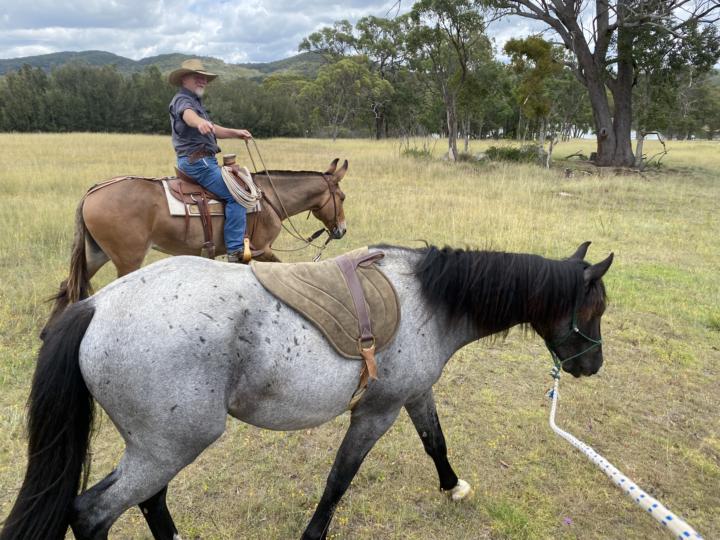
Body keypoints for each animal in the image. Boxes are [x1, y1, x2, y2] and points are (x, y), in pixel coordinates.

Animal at [2, 241, 613, 540]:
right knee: (92, 514)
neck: (427, 299)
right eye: (595, 308)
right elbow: (340, 478)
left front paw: (452, 485)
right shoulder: (376, 412)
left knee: (150, 501)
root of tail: (96, 305)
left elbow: (435, 442)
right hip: (168, 447)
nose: (592, 366)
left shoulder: (413, 396)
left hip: (158, 448)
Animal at [43, 158, 349, 336]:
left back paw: (48, 332)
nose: (342, 230)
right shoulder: (261, 249)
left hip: (97, 254)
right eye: (343, 197)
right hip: (127, 258)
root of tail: (92, 193)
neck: (268, 198)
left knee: (67, 286)